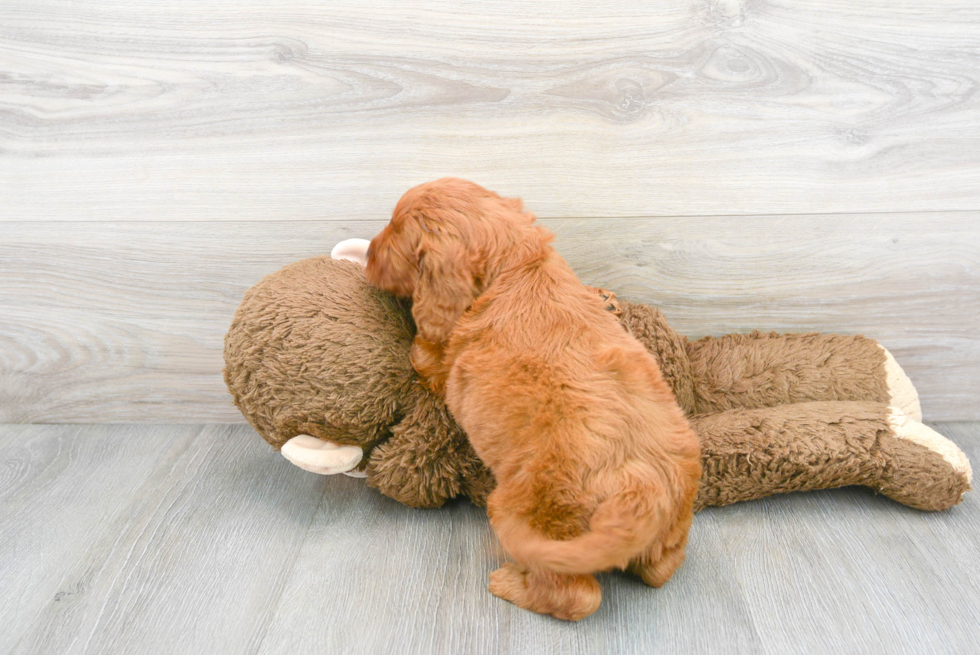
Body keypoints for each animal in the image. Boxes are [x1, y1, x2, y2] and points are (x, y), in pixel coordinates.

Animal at [364, 178, 700, 620]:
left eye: (395, 231)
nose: (366, 255)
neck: (517, 264)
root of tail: (642, 490)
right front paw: (602, 296)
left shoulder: (440, 358)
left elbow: (421, 350)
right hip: (674, 525)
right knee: (661, 569)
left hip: (531, 518)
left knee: (577, 596)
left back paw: (510, 584)